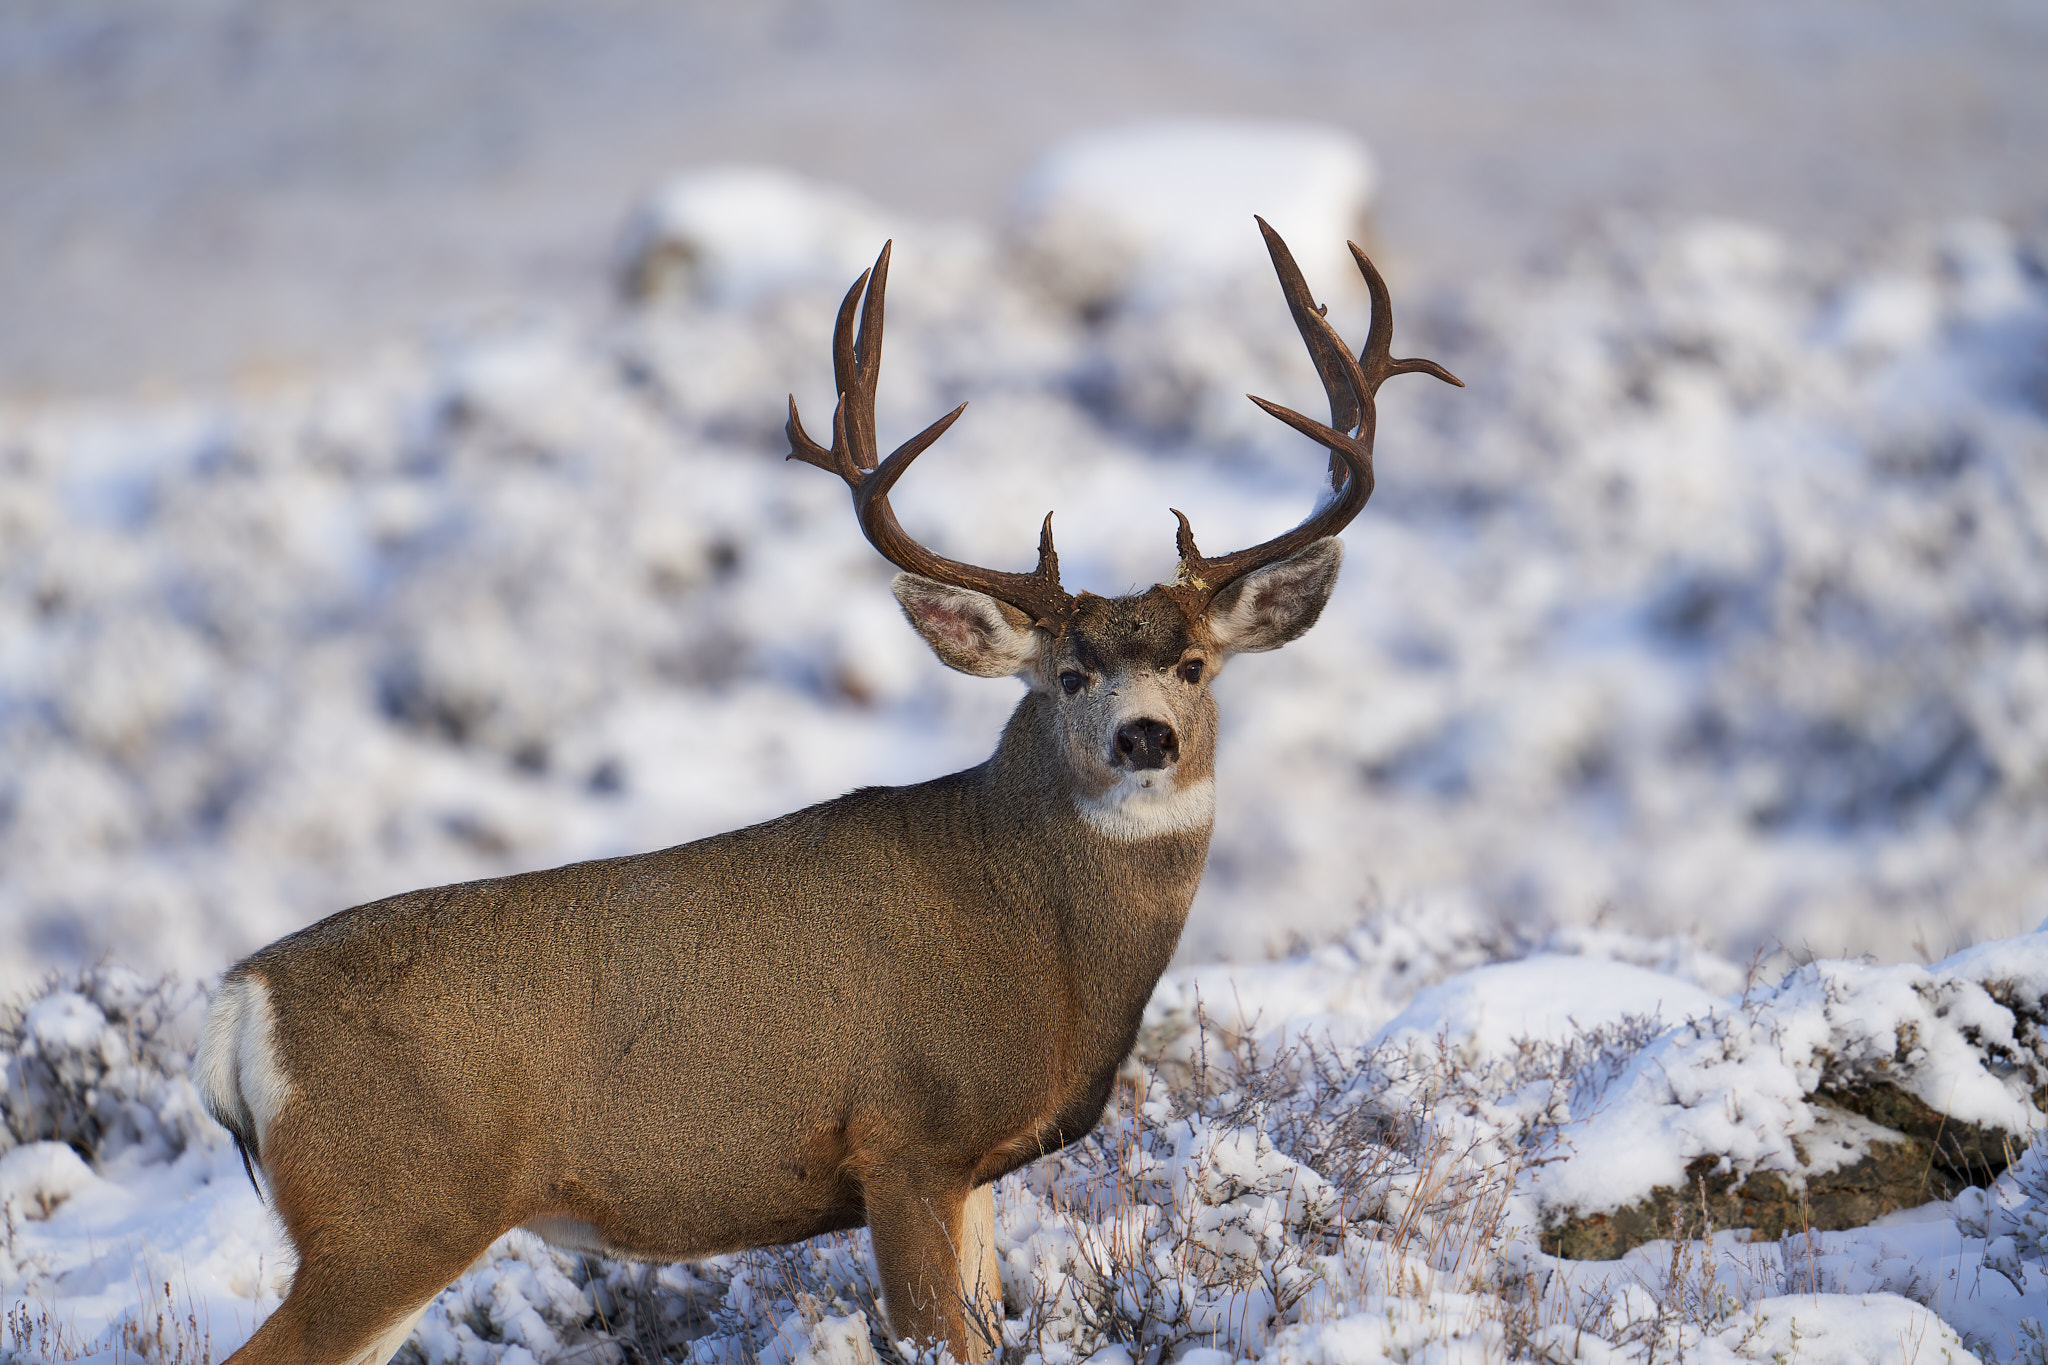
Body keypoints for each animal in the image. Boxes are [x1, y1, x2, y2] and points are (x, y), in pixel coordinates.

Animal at [192, 218, 1459, 1365]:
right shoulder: (902, 1138)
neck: (1039, 942)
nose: (1143, 735)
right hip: (389, 1211)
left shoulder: (971, 1168)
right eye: (1067, 674)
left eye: (1194, 664)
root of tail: (240, 1006)